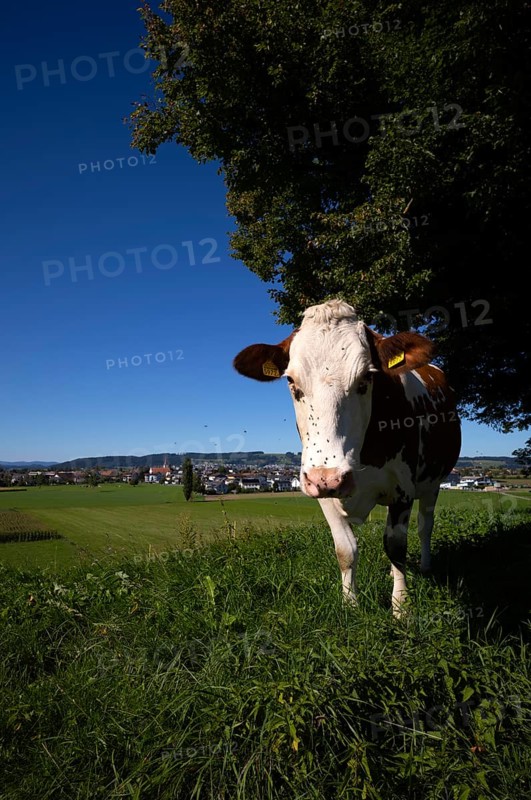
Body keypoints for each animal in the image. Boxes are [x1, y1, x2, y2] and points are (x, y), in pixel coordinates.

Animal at [233, 299, 461, 616]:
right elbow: (346, 550)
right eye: (291, 380)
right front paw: (350, 603)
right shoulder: (324, 494)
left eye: (367, 377)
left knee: (425, 525)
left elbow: (396, 546)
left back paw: (425, 566)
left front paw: (401, 606)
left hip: (433, 483)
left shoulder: (402, 489)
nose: (328, 478)